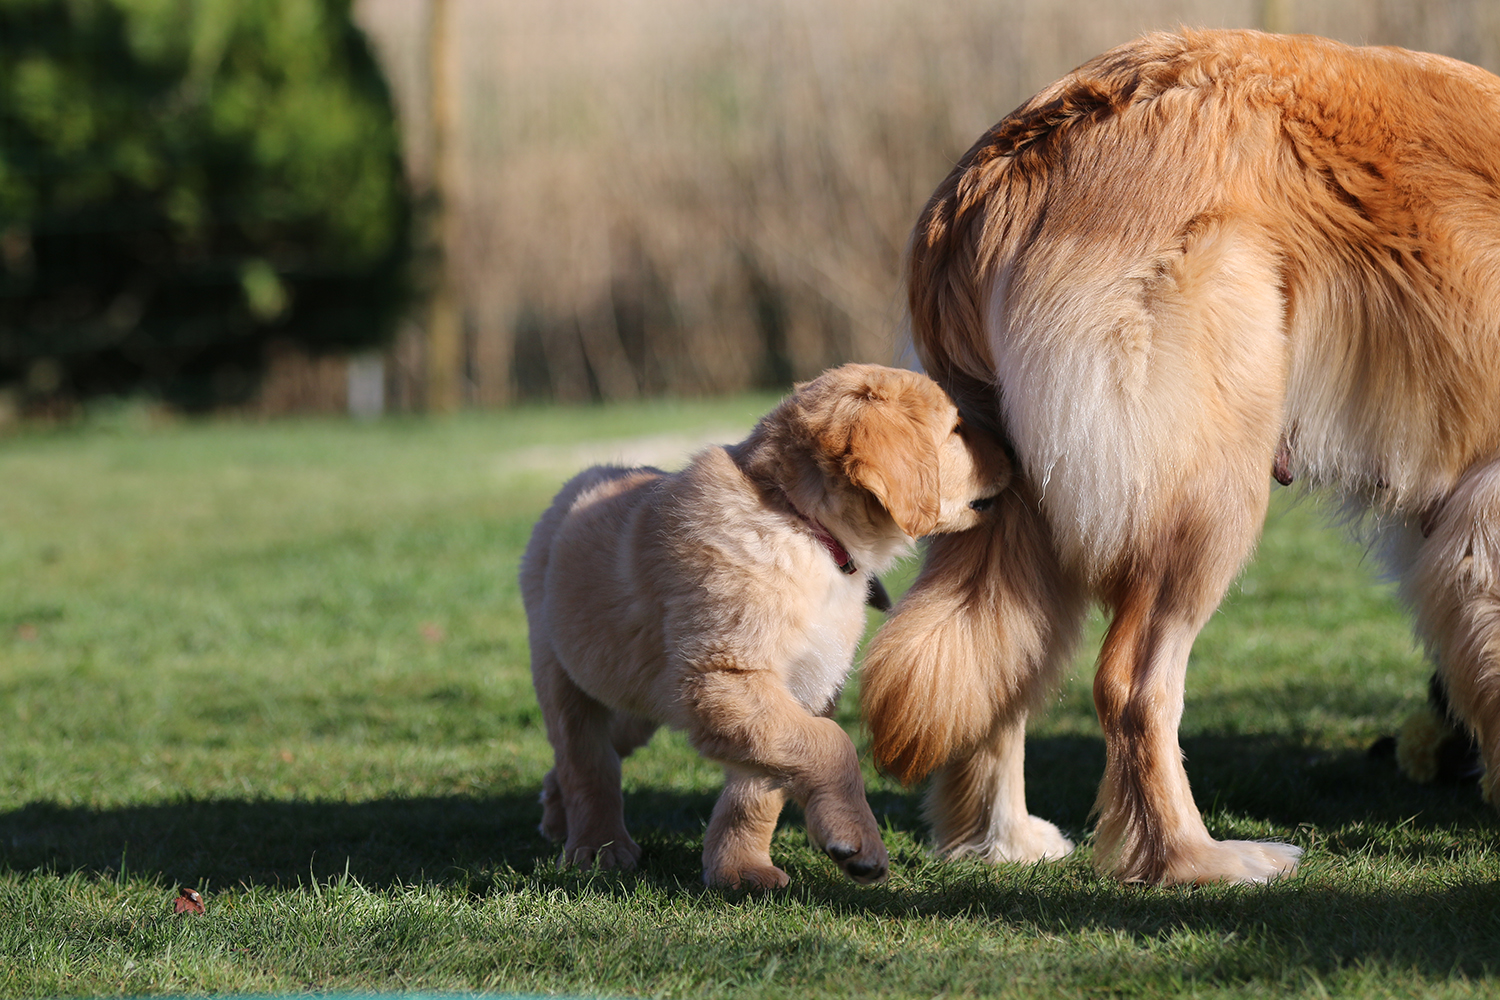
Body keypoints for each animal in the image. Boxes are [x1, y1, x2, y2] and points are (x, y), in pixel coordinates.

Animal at [520, 363, 1008, 888]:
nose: (1012, 450)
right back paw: (598, 846)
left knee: (596, 752)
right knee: (586, 760)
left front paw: (739, 868)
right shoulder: (723, 679)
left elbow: (762, 786)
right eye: (956, 429)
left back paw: (556, 814)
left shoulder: (797, 689)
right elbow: (830, 745)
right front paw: (858, 840)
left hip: (635, 694)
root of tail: (587, 476)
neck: (802, 525)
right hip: (563, 674)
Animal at [859, 28, 1500, 885]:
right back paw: (1194, 858)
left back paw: (1004, 842)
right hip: (1208, 485)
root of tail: (995, 168)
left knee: (995, 663)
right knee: (1132, 685)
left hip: (1028, 510)